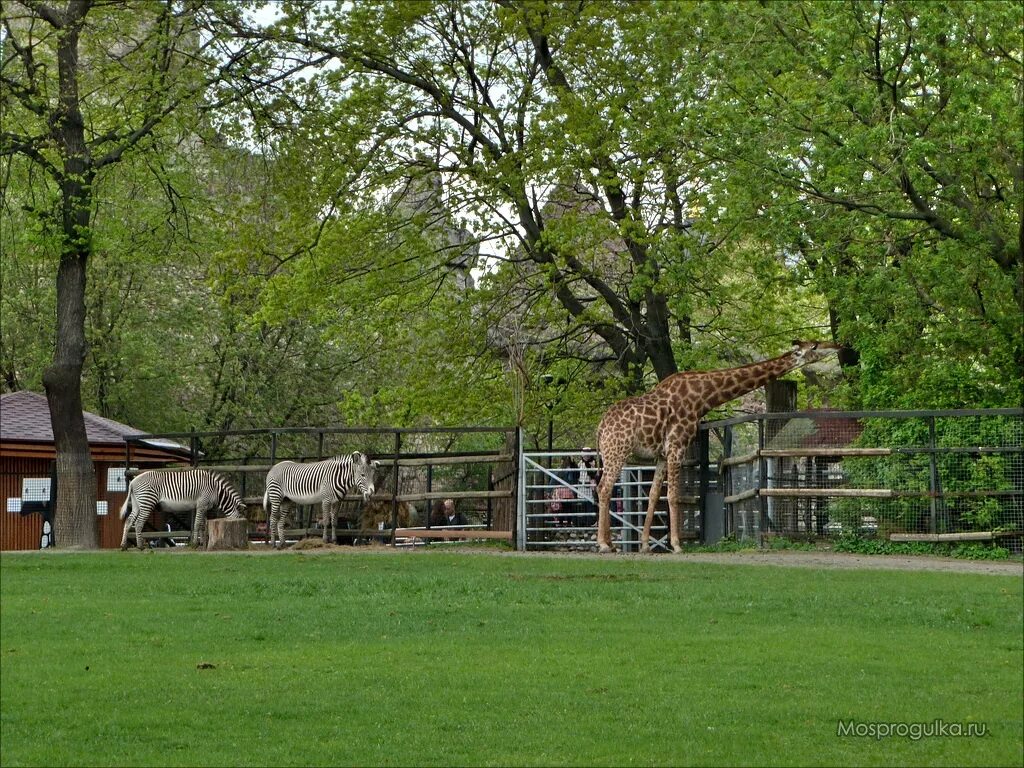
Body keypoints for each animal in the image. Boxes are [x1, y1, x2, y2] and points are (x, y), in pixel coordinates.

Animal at [593, 342, 839, 552]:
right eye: (815, 346)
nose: (837, 346)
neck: (702, 397)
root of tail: (600, 427)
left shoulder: (662, 454)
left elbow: (654, 496)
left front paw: (645, 545)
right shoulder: (677, 446)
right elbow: (673, 495)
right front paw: (677, 545)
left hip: (611, 452)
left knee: (604, 488)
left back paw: (610, 544)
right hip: (618, 450)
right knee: (603, 488)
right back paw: (604, 544)